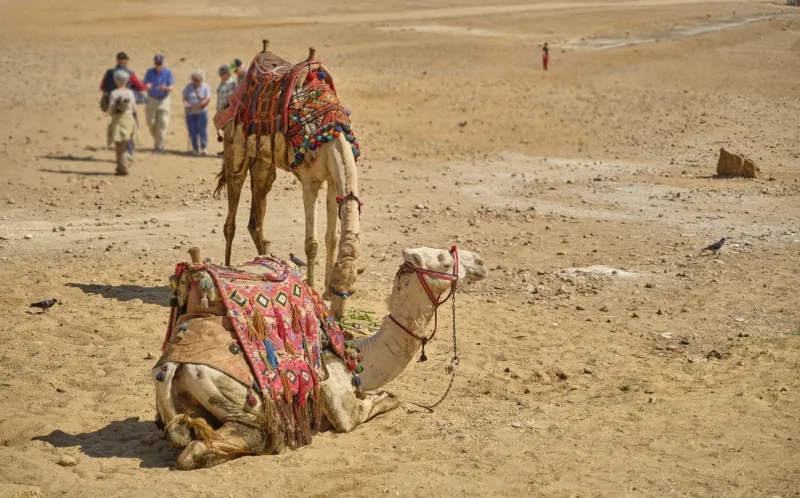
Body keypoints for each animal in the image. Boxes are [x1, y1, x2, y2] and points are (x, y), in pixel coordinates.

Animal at [153, 246, 487, 470]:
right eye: (445, 260)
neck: (359, 355)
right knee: (249, 437)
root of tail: (170, 368)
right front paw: (385, 397)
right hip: (239, 396)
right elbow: (382, 403)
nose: (481, 262)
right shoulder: (339, 400)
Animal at [212, 42, 362, 322]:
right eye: (340, 289)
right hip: (235, 150)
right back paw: (227, 268)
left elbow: (332, 236)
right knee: (232, 213)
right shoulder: (310, 182)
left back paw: (266, 260)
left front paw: (322, 291)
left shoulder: (332, 181)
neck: (331, 135)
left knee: (256, 215)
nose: (338, 316)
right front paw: (312, 288)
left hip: (263, 164)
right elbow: (312, 243)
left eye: (350, 290)